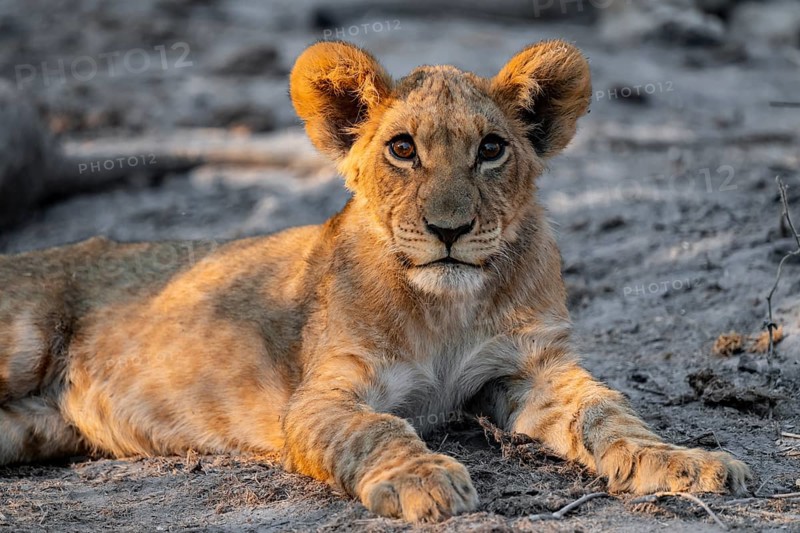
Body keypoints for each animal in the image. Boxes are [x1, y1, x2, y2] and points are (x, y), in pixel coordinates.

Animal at [0, 40, 750, 522]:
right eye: (403, 148)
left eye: (491, 149)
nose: (449, 229)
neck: (448, 309)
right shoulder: (319, 396)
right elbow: (378, 429)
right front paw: (425, 480)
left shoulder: (531, 368)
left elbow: (610, 413)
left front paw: (687, 461)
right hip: (22, 340)